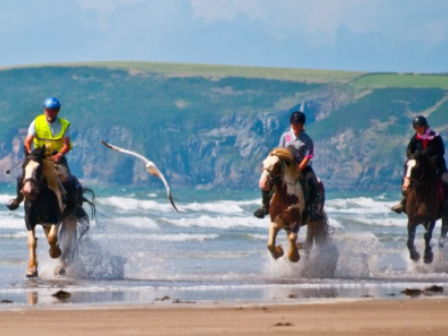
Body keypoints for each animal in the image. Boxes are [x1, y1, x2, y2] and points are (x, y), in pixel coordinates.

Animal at [20, 146, 96, 276]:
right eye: (24, 166)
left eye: (39, 168)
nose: (27, 190)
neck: (41, 197)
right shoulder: (29, 220)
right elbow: (32, 242)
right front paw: (32, 269)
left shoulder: (56, 218)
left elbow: (53, 238)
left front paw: (55, 253)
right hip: (46, 223)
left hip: (70, 218)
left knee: (68, 240)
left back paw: (60, 267)